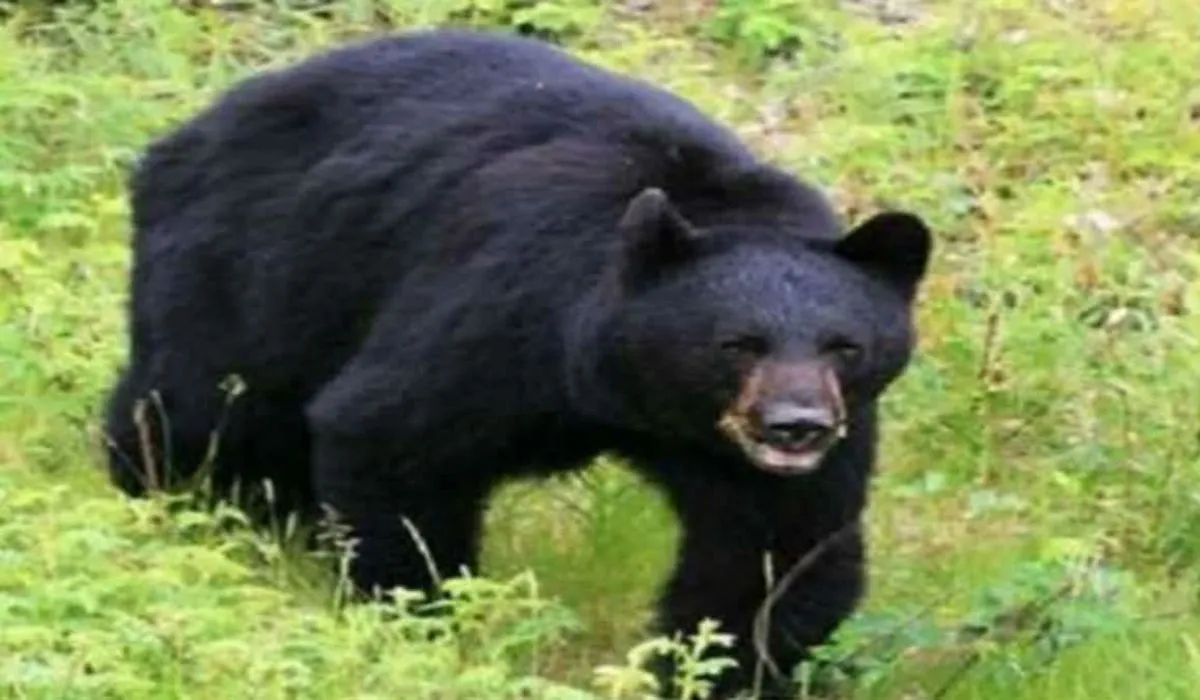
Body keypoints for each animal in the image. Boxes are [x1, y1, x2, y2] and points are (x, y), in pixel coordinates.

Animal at [100, 28, 933, 699]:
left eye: (844, 347)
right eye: (737, 343)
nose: (796, 426)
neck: (625, 393)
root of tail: (191, 126)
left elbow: (775, 546)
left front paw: (725, 673)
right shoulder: (504, 303)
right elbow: (394, 435)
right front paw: (421, 624)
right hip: (254, 260)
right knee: (201, 404)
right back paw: (168, 500)